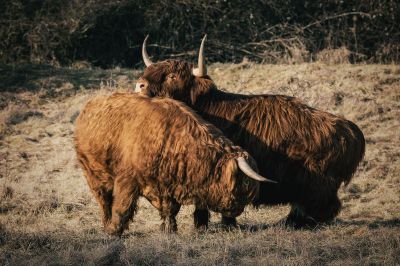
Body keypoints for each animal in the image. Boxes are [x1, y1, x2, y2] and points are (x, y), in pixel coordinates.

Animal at [74, 92, 276, 236]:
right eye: (242, 187)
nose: (237, 211)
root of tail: (90, 105)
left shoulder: (166, 186)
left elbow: (170, 209)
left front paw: (169, 229)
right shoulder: (128, 179)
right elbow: (122, 207)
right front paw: (114, 232)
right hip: (92, 173)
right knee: (105, 201)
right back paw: (106, 224)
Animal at [135, 34, 366, 228]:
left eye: (172, 76)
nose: (140, 85)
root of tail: (351, 130)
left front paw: (214, 224)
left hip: (316, 180)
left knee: (322, 204)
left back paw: (297, 222)